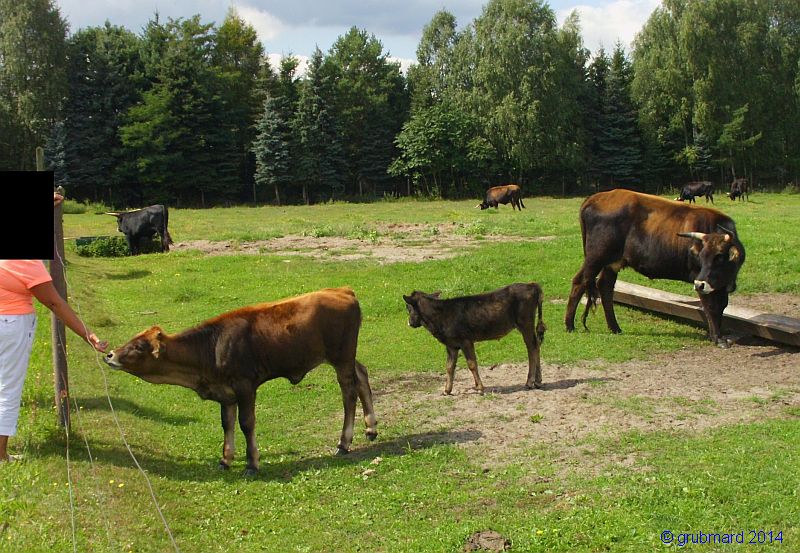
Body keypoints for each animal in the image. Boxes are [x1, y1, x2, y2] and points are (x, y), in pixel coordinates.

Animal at [104, 286, 378, 472]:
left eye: (138, 346)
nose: (109, 354)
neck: (211, 346)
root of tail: (342, 291)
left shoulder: (245, 386)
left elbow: (246, 423)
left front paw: (252, 462)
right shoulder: (226, 393)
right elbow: (227, 423)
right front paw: (226, 458)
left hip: (341, 358)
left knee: (348, 393)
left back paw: (344, 442)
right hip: (344, 358)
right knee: (362, 374)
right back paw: (371, 427)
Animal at [404, 282, 548, 394]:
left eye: (408, 307)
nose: (410, 322)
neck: (441, 315)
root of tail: (532, 285)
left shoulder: (466, 341)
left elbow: (472, 364)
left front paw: (479, 387)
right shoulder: (451, 345)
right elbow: (449, 366)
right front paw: (447, 390)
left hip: (525, 323)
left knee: (532, 347)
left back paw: (530, 382)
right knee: (537, 345)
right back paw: (538, 381)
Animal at [564, 190, 748, 344]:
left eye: (719, 257)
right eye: (701, 256)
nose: (699, 284)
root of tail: (595, 198)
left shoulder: (719, 284)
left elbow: (721, 305)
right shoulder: (701, 277)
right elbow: (711, 306)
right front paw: (717, 337)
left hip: (612, 262)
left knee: (605, 287)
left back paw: (615, 327)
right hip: (596, 257)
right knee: (580, 281)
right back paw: (569, 325)